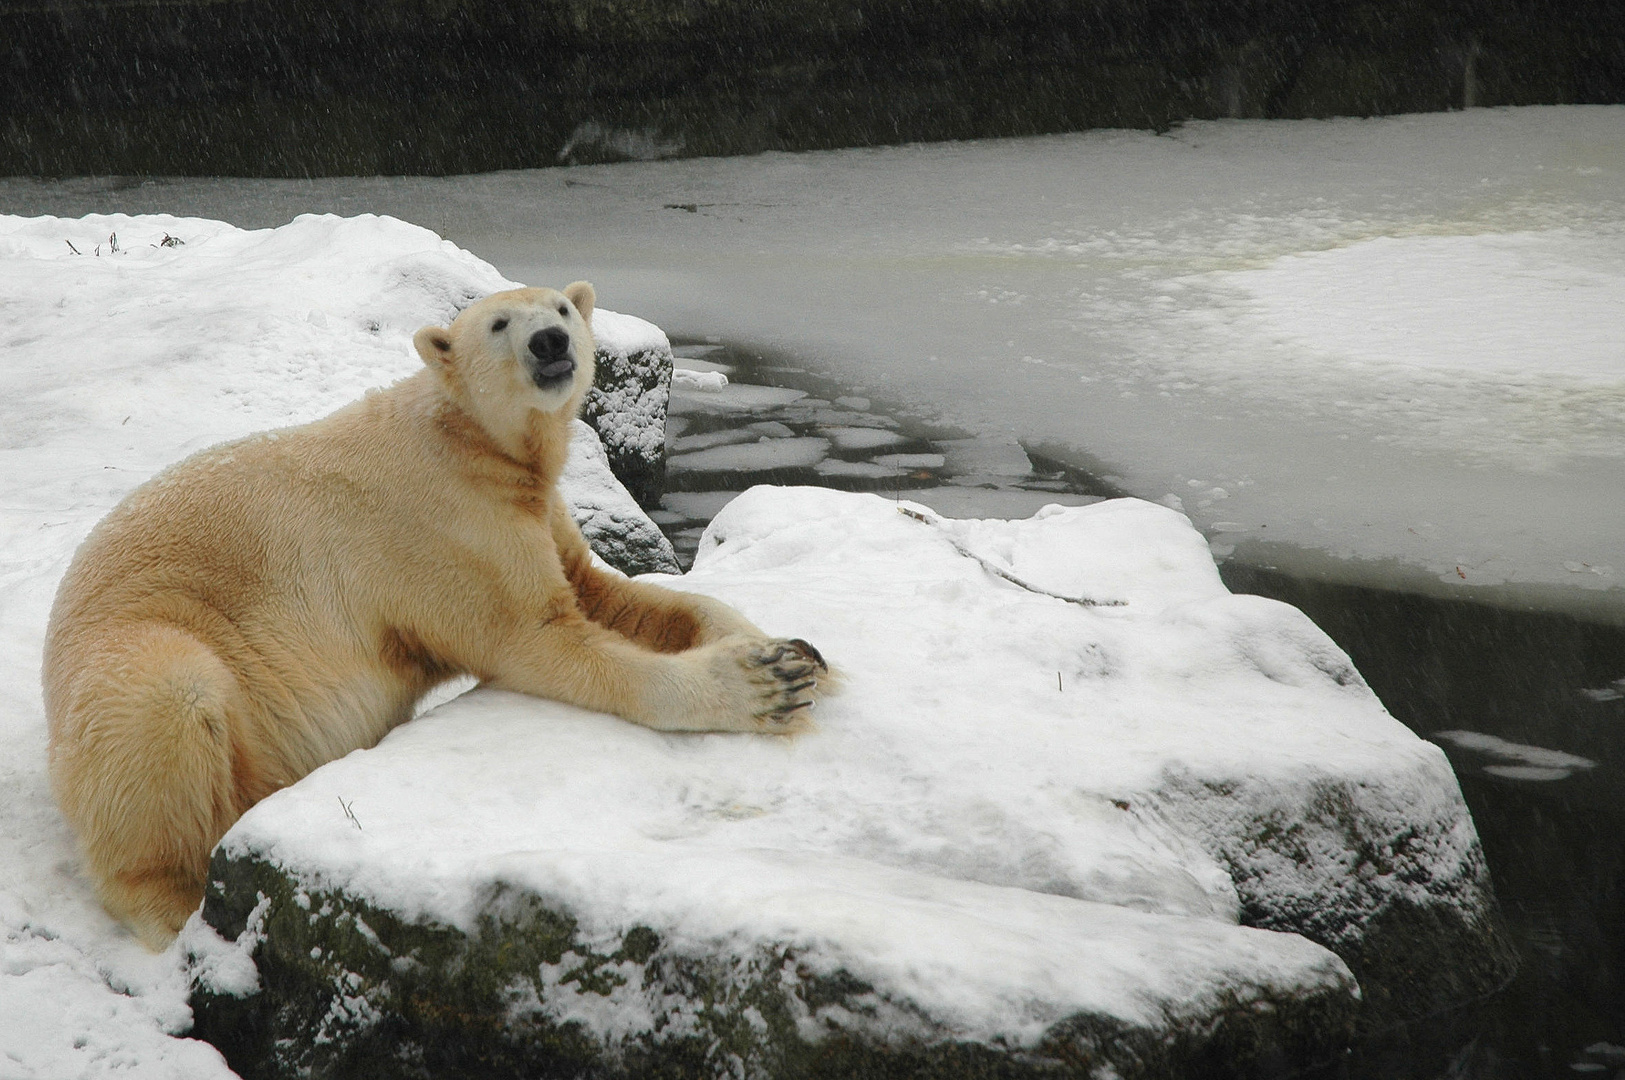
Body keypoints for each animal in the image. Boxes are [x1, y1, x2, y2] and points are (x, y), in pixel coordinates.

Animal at [44, 282, 832, 948]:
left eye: (561, 308)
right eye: (499, 323)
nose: (551, 341)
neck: (468, 439)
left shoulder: (535, 512)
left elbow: (607, 593)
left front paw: (794, 652)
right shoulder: (449, 527)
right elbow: (541, 638)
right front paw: (760, 688)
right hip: (136, 663)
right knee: (171, 705)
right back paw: (178, 904)